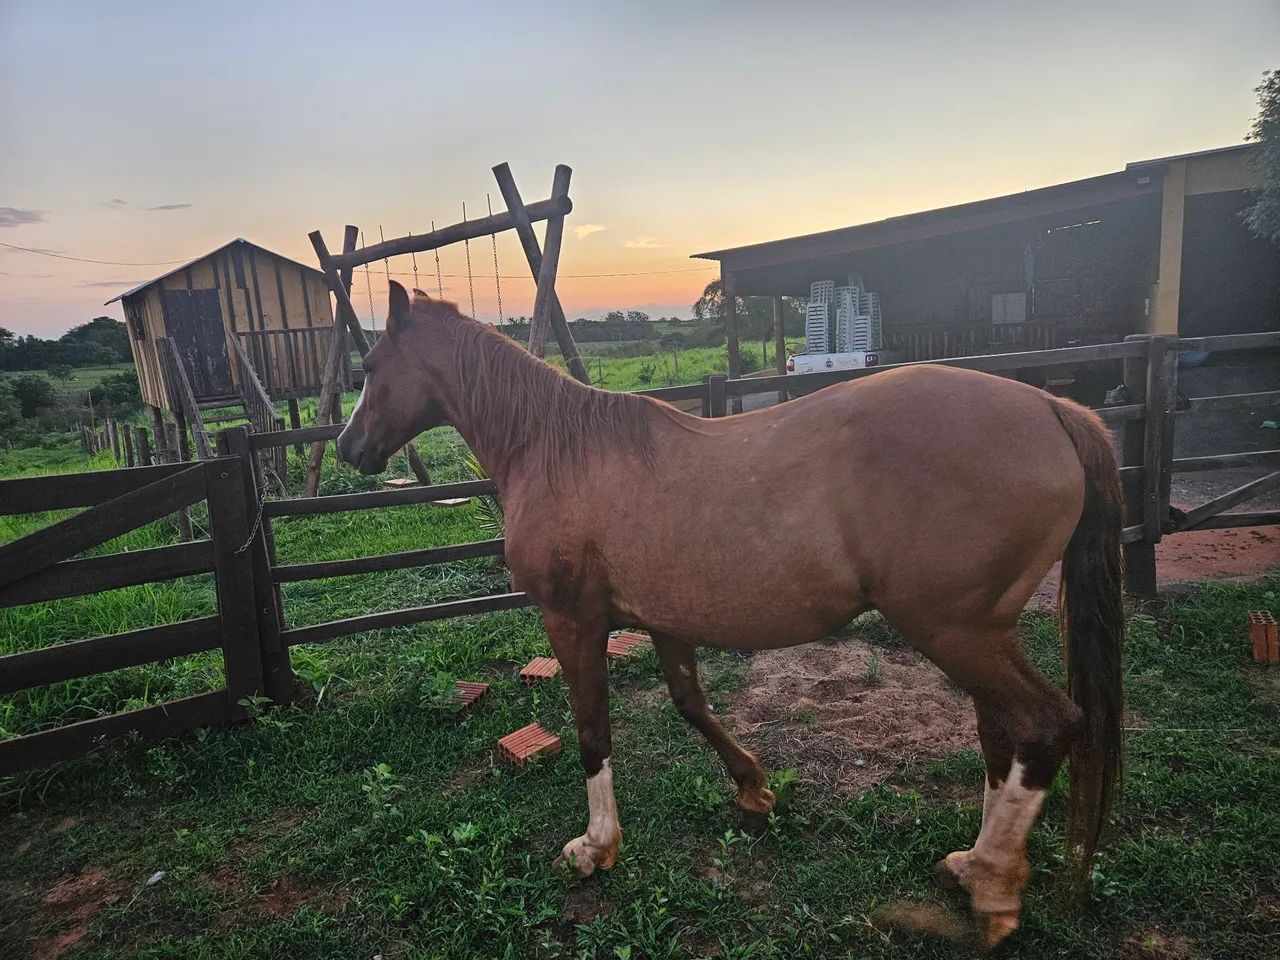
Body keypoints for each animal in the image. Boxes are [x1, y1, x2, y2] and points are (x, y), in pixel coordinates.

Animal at [337, 282, 1124, 949]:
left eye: (369, 366)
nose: (349, 448)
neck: (557, 448)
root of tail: (1056, 411)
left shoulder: (573, 622)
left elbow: (593, 731)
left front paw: (596, 847)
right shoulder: (663, 619)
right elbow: (691, 703)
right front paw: (752, 787)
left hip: (955, 630)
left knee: (1044, 724)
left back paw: (994, 886)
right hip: (981, 632)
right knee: (1003, 733)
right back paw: (971, 863)